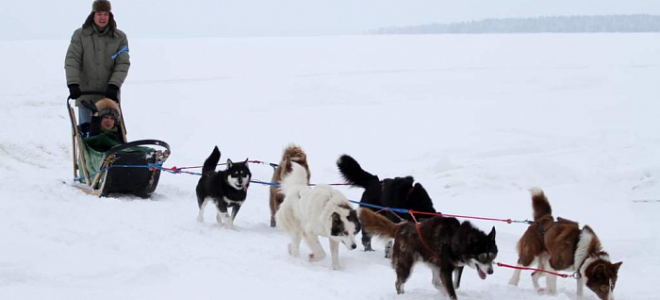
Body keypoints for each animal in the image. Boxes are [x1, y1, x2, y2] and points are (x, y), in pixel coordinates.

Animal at [360, 209, 496, 300]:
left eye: (493, 256)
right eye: (482, 257)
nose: (491, 271)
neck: (454, 239)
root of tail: (400, 227)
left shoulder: (457, 265)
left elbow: (455, 285)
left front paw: (446, 291)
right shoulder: (445, 270)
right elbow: (452, 292)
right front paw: (449, 293)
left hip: (433, 263)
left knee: (434, 282)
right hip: (406, 267)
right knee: (398, 282)